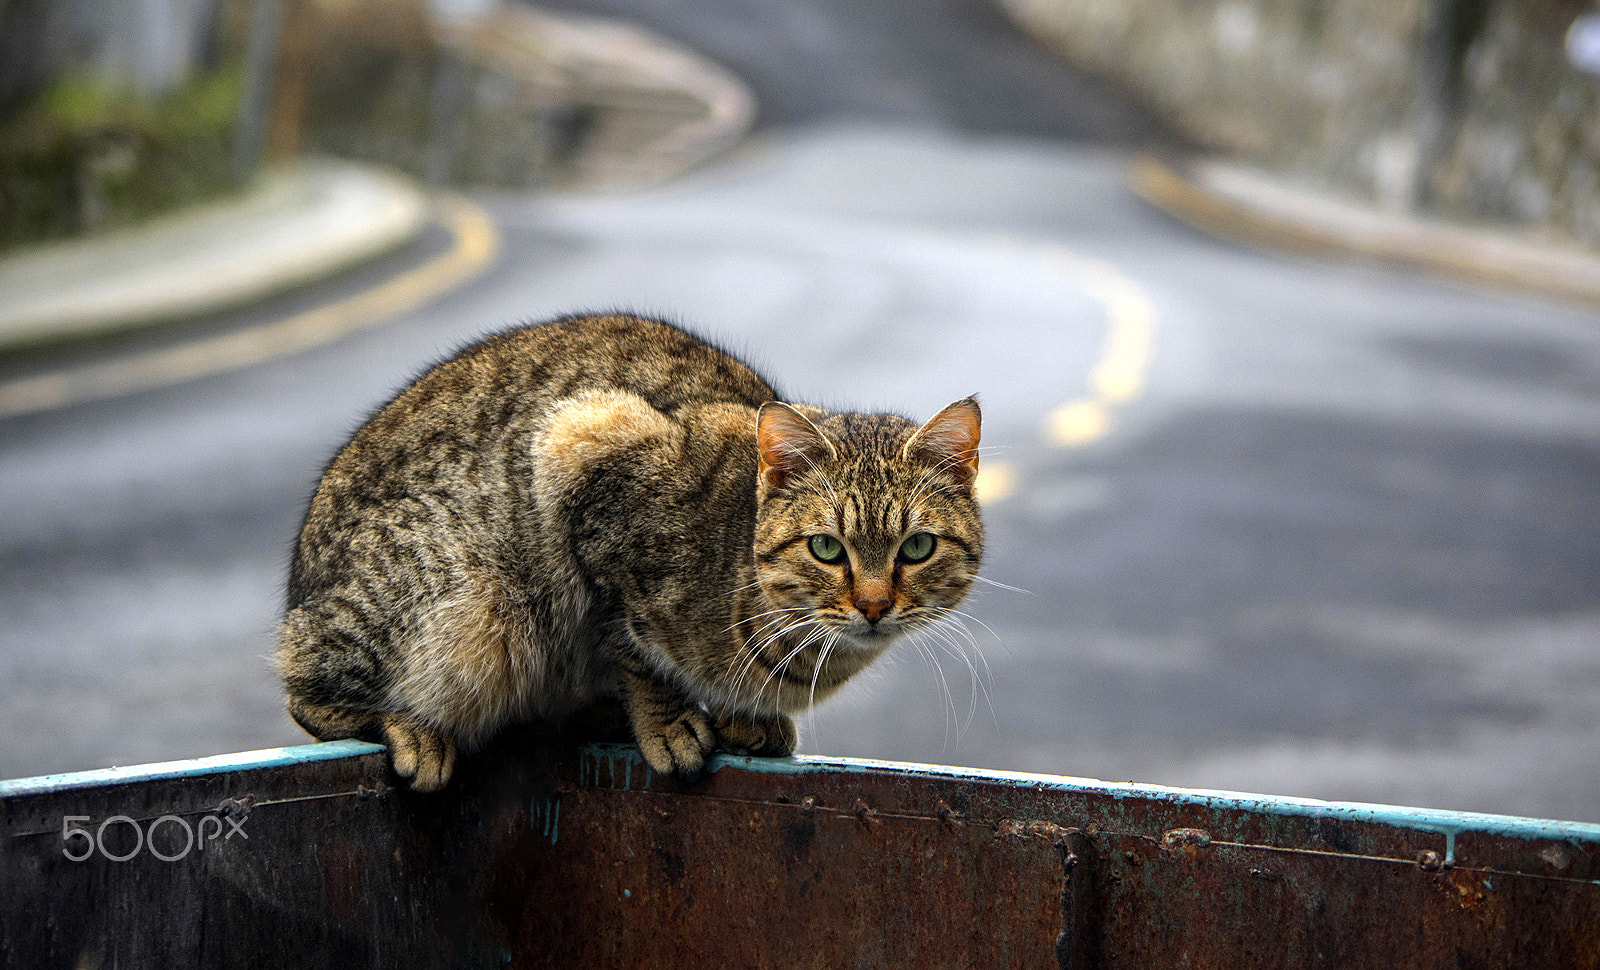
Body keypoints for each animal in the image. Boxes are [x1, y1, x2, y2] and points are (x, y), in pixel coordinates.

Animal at [280, 315, 979, 793]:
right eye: (828, 548)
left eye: (917, 547)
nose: (874, 605)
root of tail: (298, 587)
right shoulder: (584, 446)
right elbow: (630, 644)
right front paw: (666, 722)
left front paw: (741, 720)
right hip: (462, 608)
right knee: (302, 684)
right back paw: (408, 728)